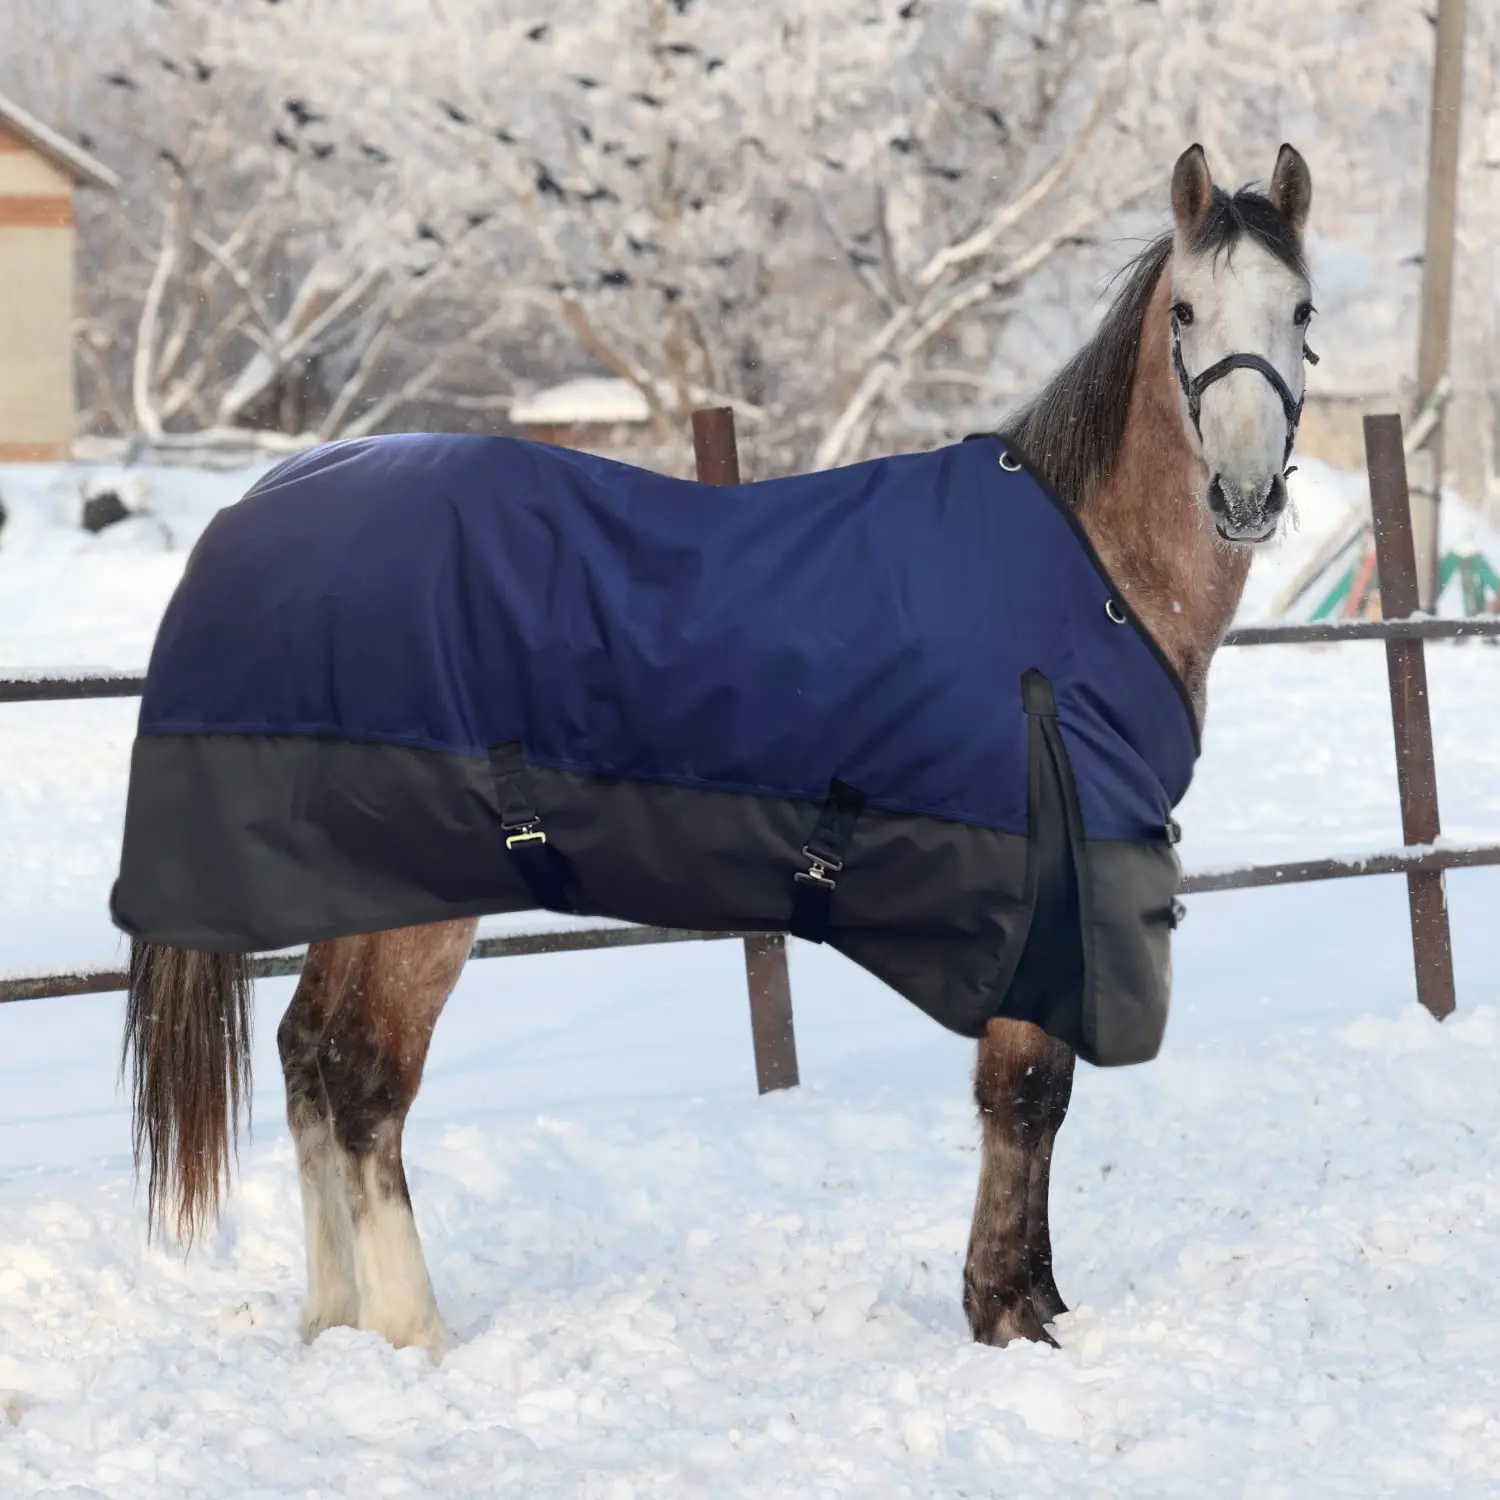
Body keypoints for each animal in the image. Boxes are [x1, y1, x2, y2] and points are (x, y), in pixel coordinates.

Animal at [121, 141, 1316, 1359]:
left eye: (1302, 310)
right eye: (1184, 311)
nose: (1245, 495)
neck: (1088, 577)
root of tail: (263, 506)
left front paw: (1028, 1299)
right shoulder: (1054, 878)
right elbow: (1025, 1092)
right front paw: (1012, 1314)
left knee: (308, 1061)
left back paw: (334, 1325)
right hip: (418, 901)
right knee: (364, 1079)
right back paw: (416, 1336)